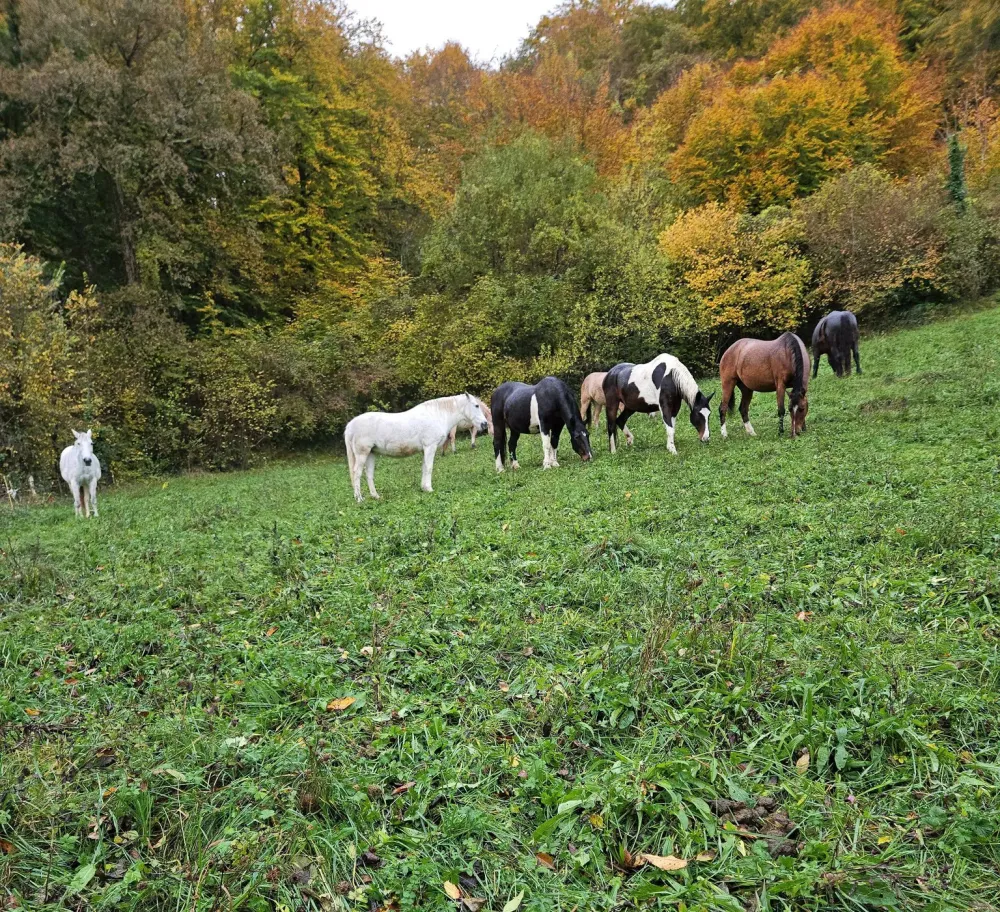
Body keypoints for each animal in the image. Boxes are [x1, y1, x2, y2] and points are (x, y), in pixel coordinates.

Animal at [344, 394, 489, 502]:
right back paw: (359, 499)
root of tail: (350, 425)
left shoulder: (425, 450)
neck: (437, 415)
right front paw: (429, 488)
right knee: (357, 473)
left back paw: (375, 496)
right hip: (362, 454)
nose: (485, 424)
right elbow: (429, 468)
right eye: (476, 405)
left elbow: (424, 468)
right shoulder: (430, 447)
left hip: (371, 453)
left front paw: (424, 488)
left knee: (369, 474)